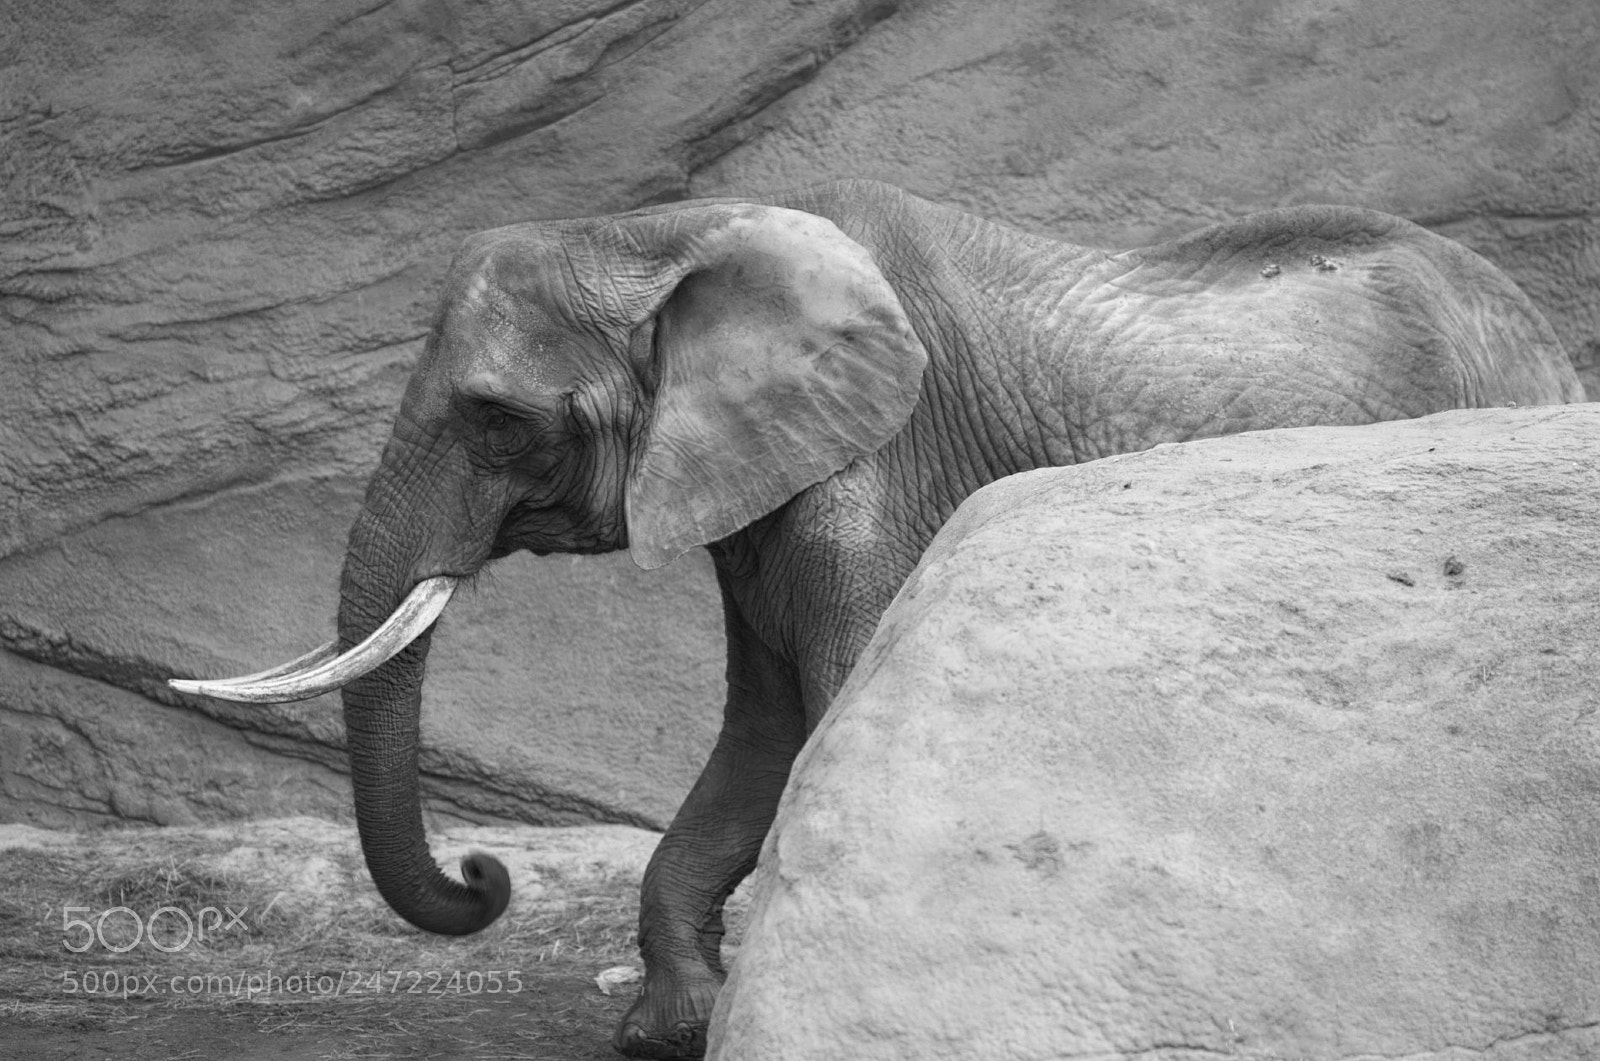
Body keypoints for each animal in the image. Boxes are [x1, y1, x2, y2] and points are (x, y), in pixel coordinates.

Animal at [171, 179, 1582, 1058]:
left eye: (496, 417)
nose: (483, 872)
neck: (667, 224)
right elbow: (761, 732)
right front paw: (669, 1027)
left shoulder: (876, 467)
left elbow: (827, 717)